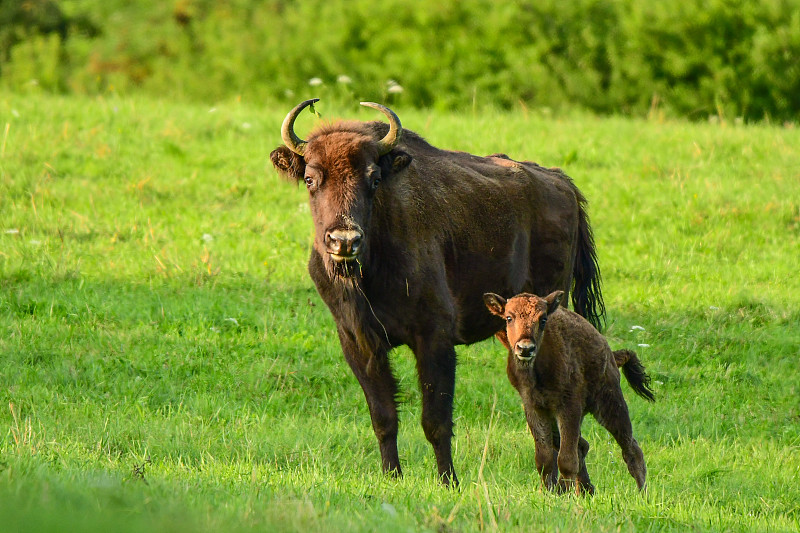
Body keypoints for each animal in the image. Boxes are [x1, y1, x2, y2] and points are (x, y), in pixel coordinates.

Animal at [272, 97, 604, 484]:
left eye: (374, 178)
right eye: (310, 178)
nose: (344, 240)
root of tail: (562, 183)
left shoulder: (434, 339)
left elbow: (435, 420)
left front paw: (449, 481)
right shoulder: (358, 342)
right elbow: (384, 417)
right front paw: (392, 475)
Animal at [484, 288, 652, 492]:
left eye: (543, 319)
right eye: (509, 317)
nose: (525, 348)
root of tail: (609, 352)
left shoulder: (568, 407)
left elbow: (566, 459)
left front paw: (563, 492)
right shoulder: (535, 408)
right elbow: (544, 459)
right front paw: (547, 492)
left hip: (610, 404)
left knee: (631, 449)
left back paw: (642, 493)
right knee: (583, 446)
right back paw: (586, 491)